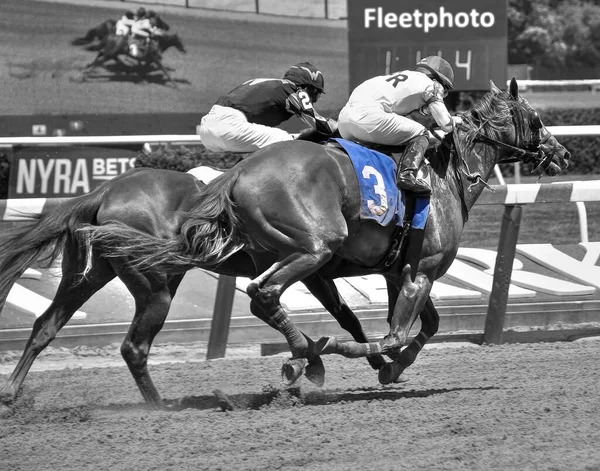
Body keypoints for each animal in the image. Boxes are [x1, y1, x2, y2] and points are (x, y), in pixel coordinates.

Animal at [0, 79, 572, 412]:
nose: (563, 154)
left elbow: (394, 324)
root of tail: (104, 191)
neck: (444, 170)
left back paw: (13, 395)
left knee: (46, 325)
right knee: (167, 333)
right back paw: (175, 402)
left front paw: (372, 363)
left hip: (96, 272)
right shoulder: (418, 268)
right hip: (175, 279)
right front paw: (361, 359)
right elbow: (394, 332)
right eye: (537, 119)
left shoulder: (379, 271)